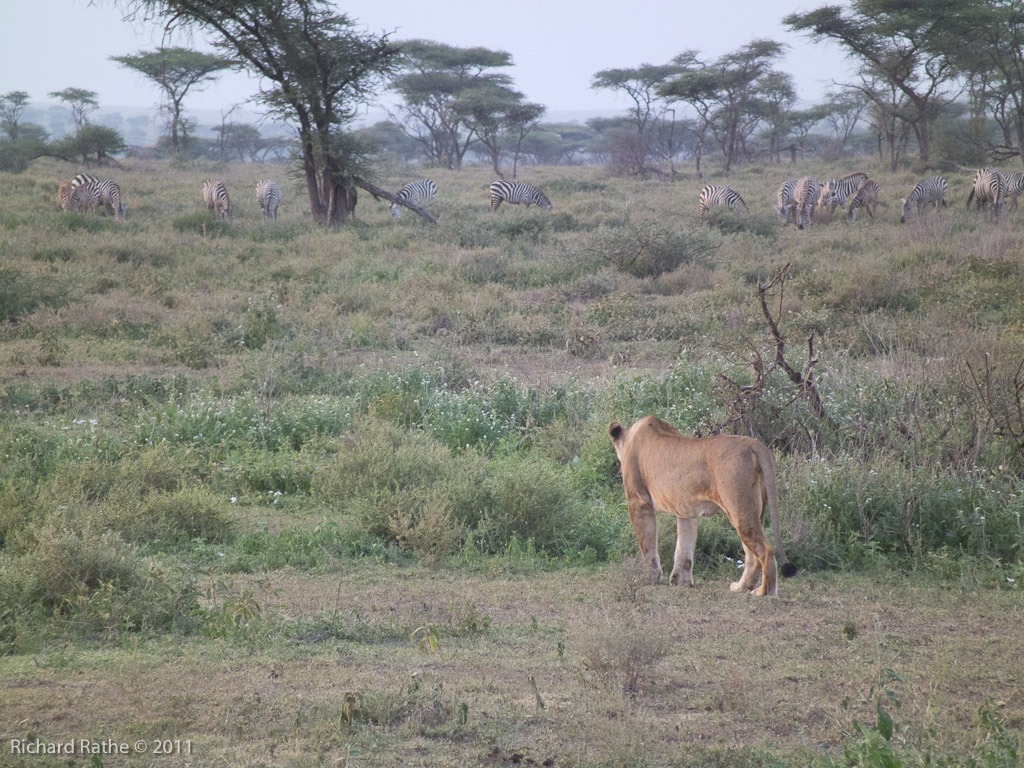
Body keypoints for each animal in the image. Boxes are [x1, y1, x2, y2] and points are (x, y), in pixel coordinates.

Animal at [609, 416, 797, 596]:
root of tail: (754, 444)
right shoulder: (686, 509)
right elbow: (684, 549)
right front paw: (681, 582)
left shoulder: (638, 500)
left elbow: (647, 545)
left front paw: (647, 579)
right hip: (752, 511)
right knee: (752, 555)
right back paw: (741, 587)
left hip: (739, 509)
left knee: (766, 550)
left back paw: (764, 592)